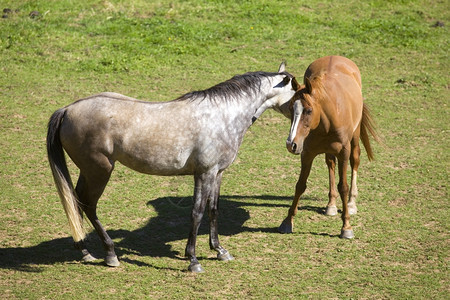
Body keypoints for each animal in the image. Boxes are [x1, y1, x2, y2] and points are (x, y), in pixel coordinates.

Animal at [46, 62, 298, 272]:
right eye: (299, 91)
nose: (293, 142)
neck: (222, 116)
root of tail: (68, 109)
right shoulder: (204, 173)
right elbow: (197, 212)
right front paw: (193, 260)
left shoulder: (217, 173)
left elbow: (213, 209)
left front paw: (219, 250)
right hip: (99, 171)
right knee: (88, 204)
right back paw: (110, 254)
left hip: (88, 172)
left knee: (76, 200)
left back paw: (85, 250)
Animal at [280, 55, 378, 239]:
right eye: (290, 108)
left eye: (309, 110)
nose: (291, 144)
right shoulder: (307, 153)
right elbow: (300, 185)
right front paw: (287, 222)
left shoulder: (343, 153)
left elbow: (343, 187)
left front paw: (346, 227)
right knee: (330, 164)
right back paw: (331, 204)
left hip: (354, 139)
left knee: (355, 161)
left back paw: (352, 203)